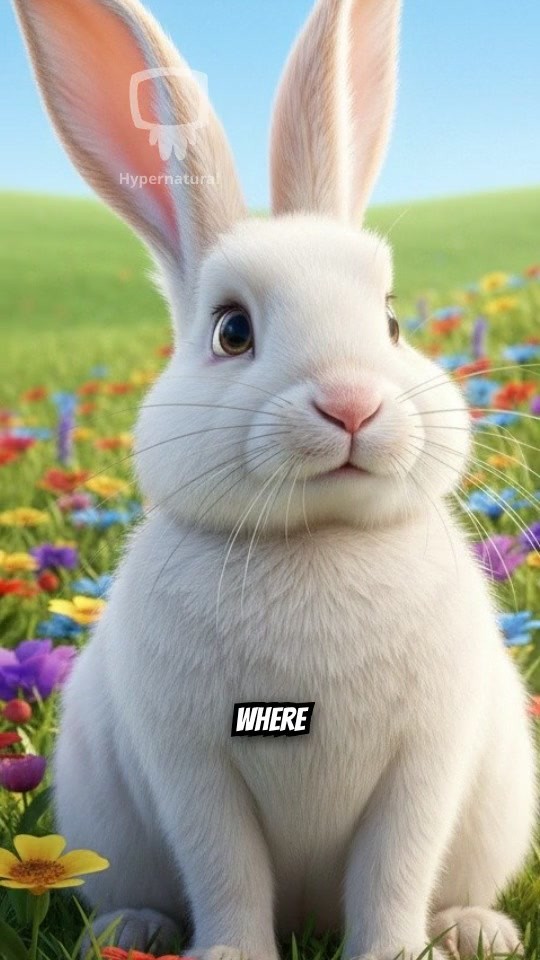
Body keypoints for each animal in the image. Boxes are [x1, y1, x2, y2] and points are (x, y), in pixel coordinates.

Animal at [13, 0, 536, 957]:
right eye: (231, 331)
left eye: (393, 322)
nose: (352, 404)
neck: (319, 538)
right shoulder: (195, 769)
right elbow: (227, 872)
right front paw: (229, 954)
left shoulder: (423, 766)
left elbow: (395, 872)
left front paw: (395, 953)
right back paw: (131, 927)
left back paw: (478, 931)